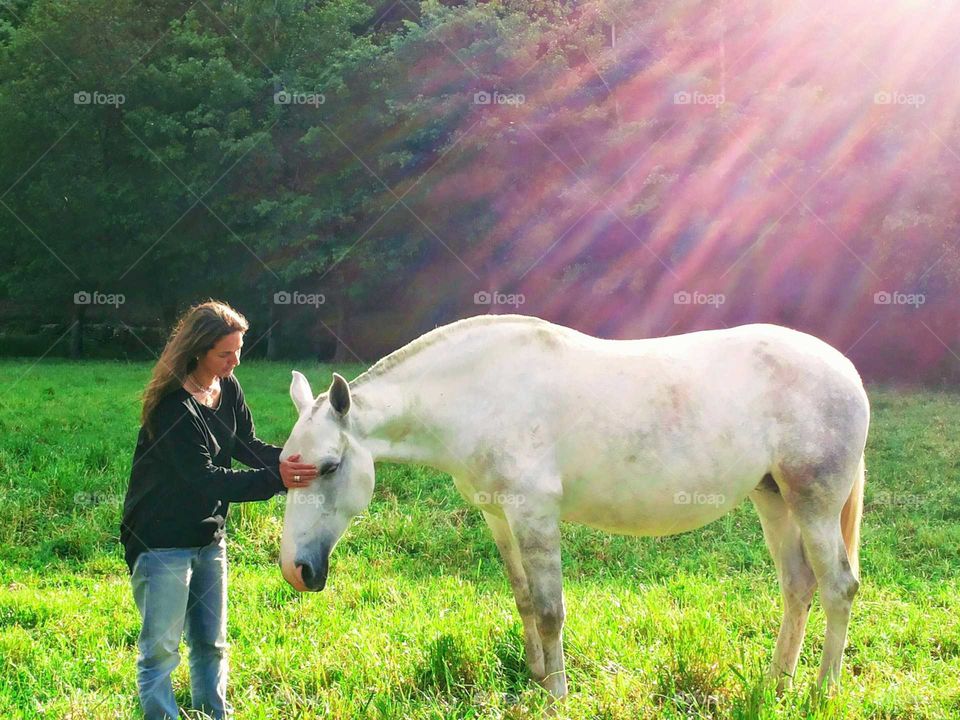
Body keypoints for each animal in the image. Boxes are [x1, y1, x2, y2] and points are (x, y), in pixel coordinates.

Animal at [278, 315, 868, 699]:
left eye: (328, 467)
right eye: (288, 468)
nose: (295, 570)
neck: (478, 393)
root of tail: (844, 366)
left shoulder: (535, 514)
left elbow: (549, 609)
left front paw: (557, 695)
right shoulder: (499, 515)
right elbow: (522, 598)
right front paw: (536, 678)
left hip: (813, 504)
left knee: (838, 587)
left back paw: (823, 692)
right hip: (774, 499)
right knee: (798, 586)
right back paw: (776, 684)